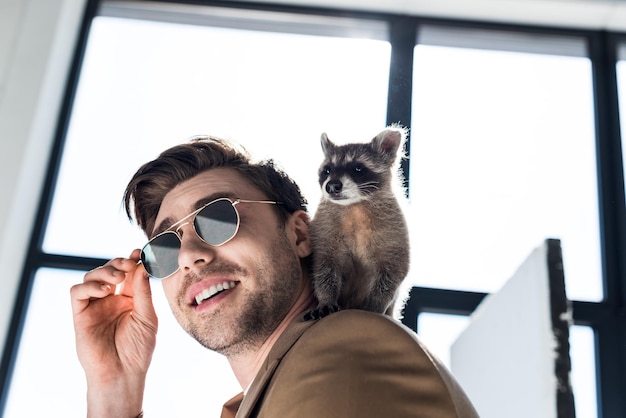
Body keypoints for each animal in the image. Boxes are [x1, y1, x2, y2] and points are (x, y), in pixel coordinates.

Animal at [306, 125, 410, 318]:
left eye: (358, 168)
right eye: (327, 170)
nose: (331, 186)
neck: (355, 206)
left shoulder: (394, 227)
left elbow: (393, 270)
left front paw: (376, 305)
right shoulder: (325, 227)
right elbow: (324, 266)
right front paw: (326, 298)